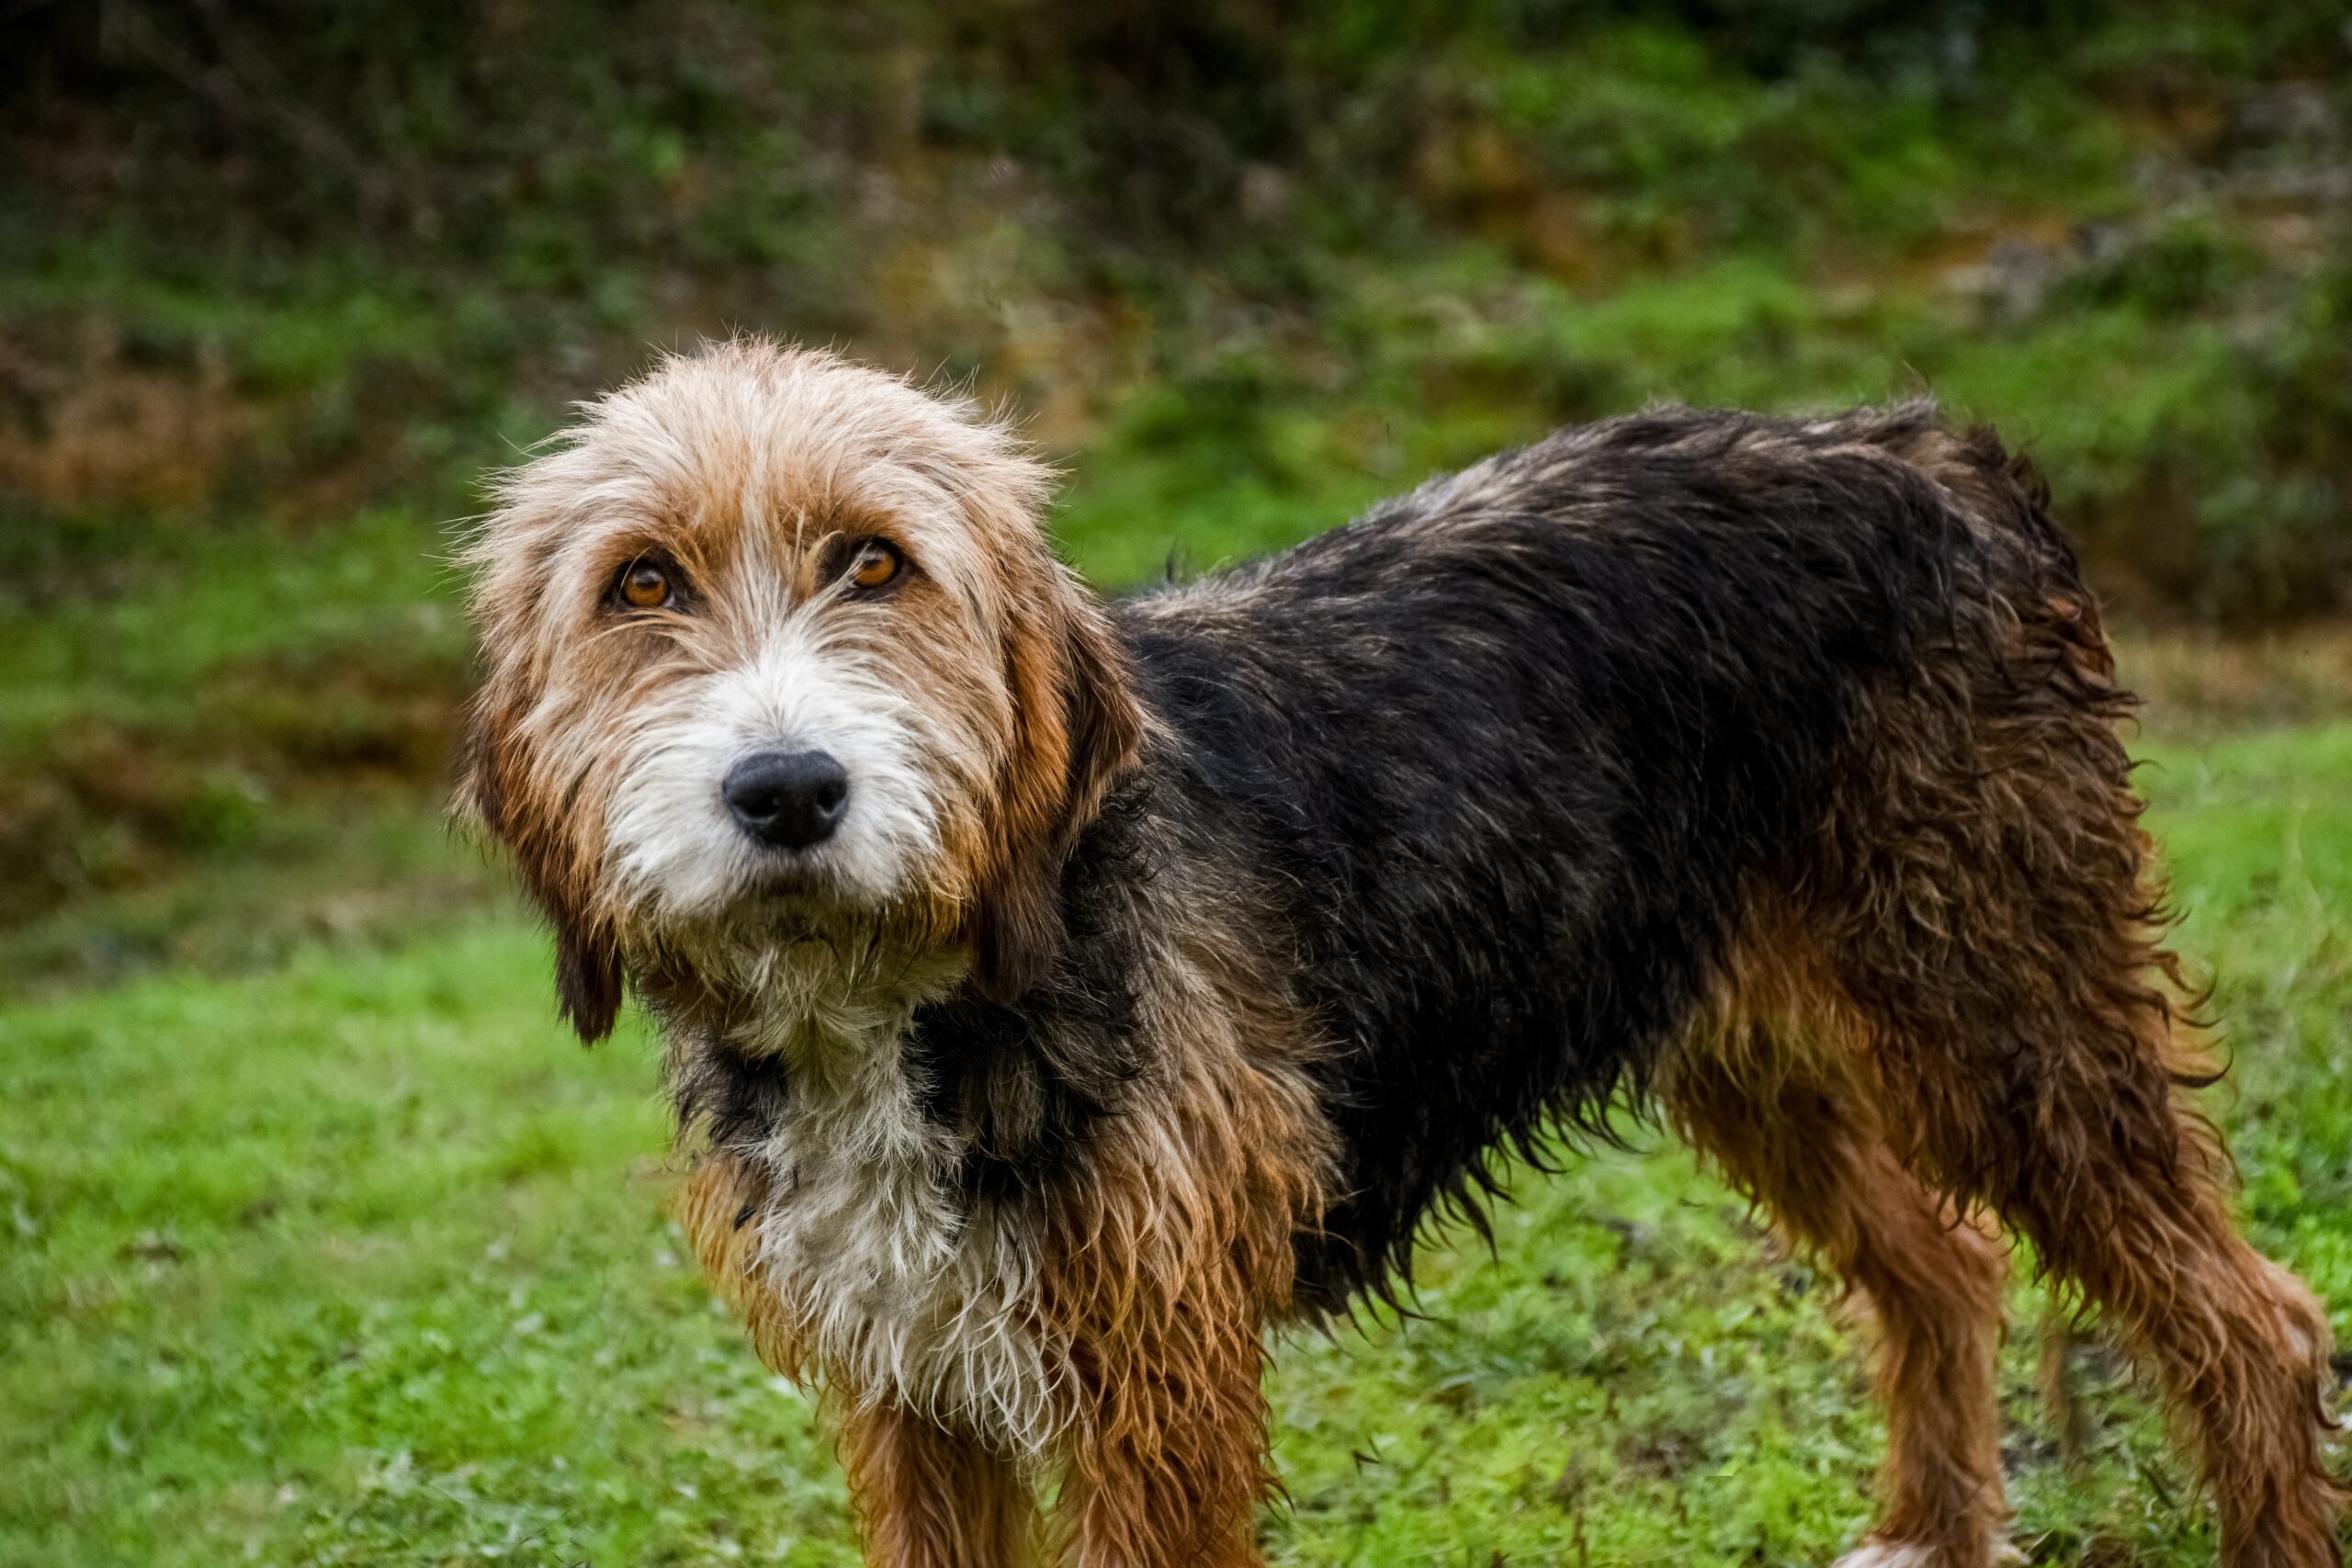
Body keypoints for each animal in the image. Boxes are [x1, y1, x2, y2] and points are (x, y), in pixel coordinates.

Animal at [454, 343, 2333, 1568]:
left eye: (878, 563)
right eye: (640, 586)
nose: (787, 789)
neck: (910, 994)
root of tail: (1928, 451)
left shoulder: (1153, 1378)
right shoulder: (911, 1387)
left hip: (2003, 1008)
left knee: (2258, 1321)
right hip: (1755, 1046)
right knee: (1944, 1263)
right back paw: (1933, 1532)